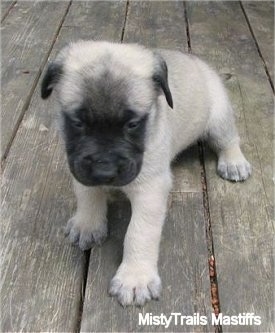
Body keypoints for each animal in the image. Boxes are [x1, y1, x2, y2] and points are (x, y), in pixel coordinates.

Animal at [40, 41, 252, 306]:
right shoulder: (78, 166)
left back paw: (234, 162)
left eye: (132, 125)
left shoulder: (150, 192)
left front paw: (135, 277)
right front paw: (87, 223)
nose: (104, 170)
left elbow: (139, 233)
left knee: (229, 140)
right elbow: (87, 195)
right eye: (77, 123)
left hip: (218, 120)